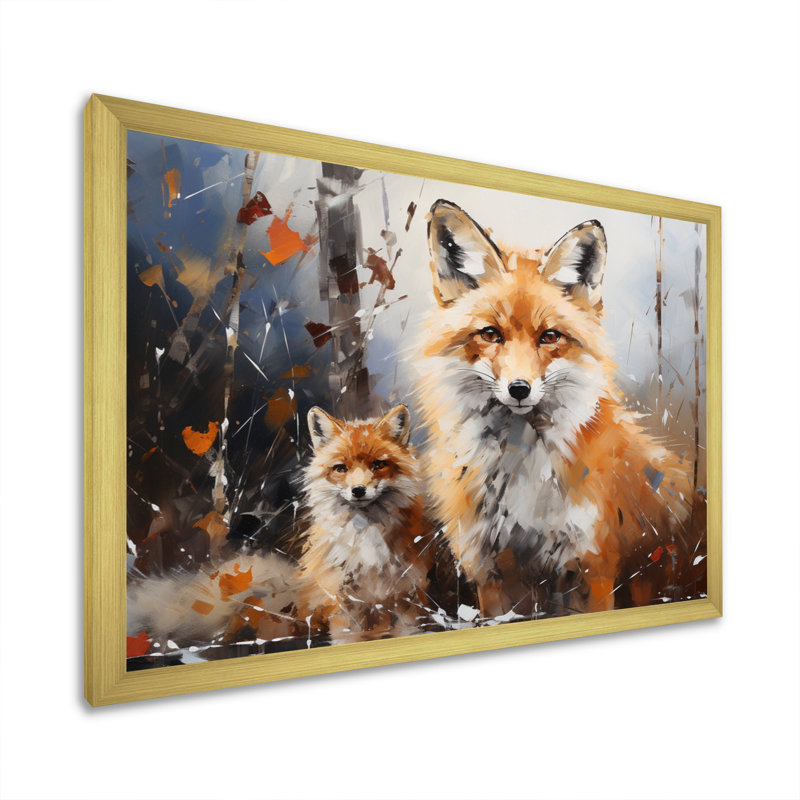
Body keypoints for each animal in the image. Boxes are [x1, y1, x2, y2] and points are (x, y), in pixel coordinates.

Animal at [414, 199, 705, 620]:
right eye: (490, 334)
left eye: (549, 336)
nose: (519, 389)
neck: (519, 470)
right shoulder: (489, 570)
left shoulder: (592, 565)